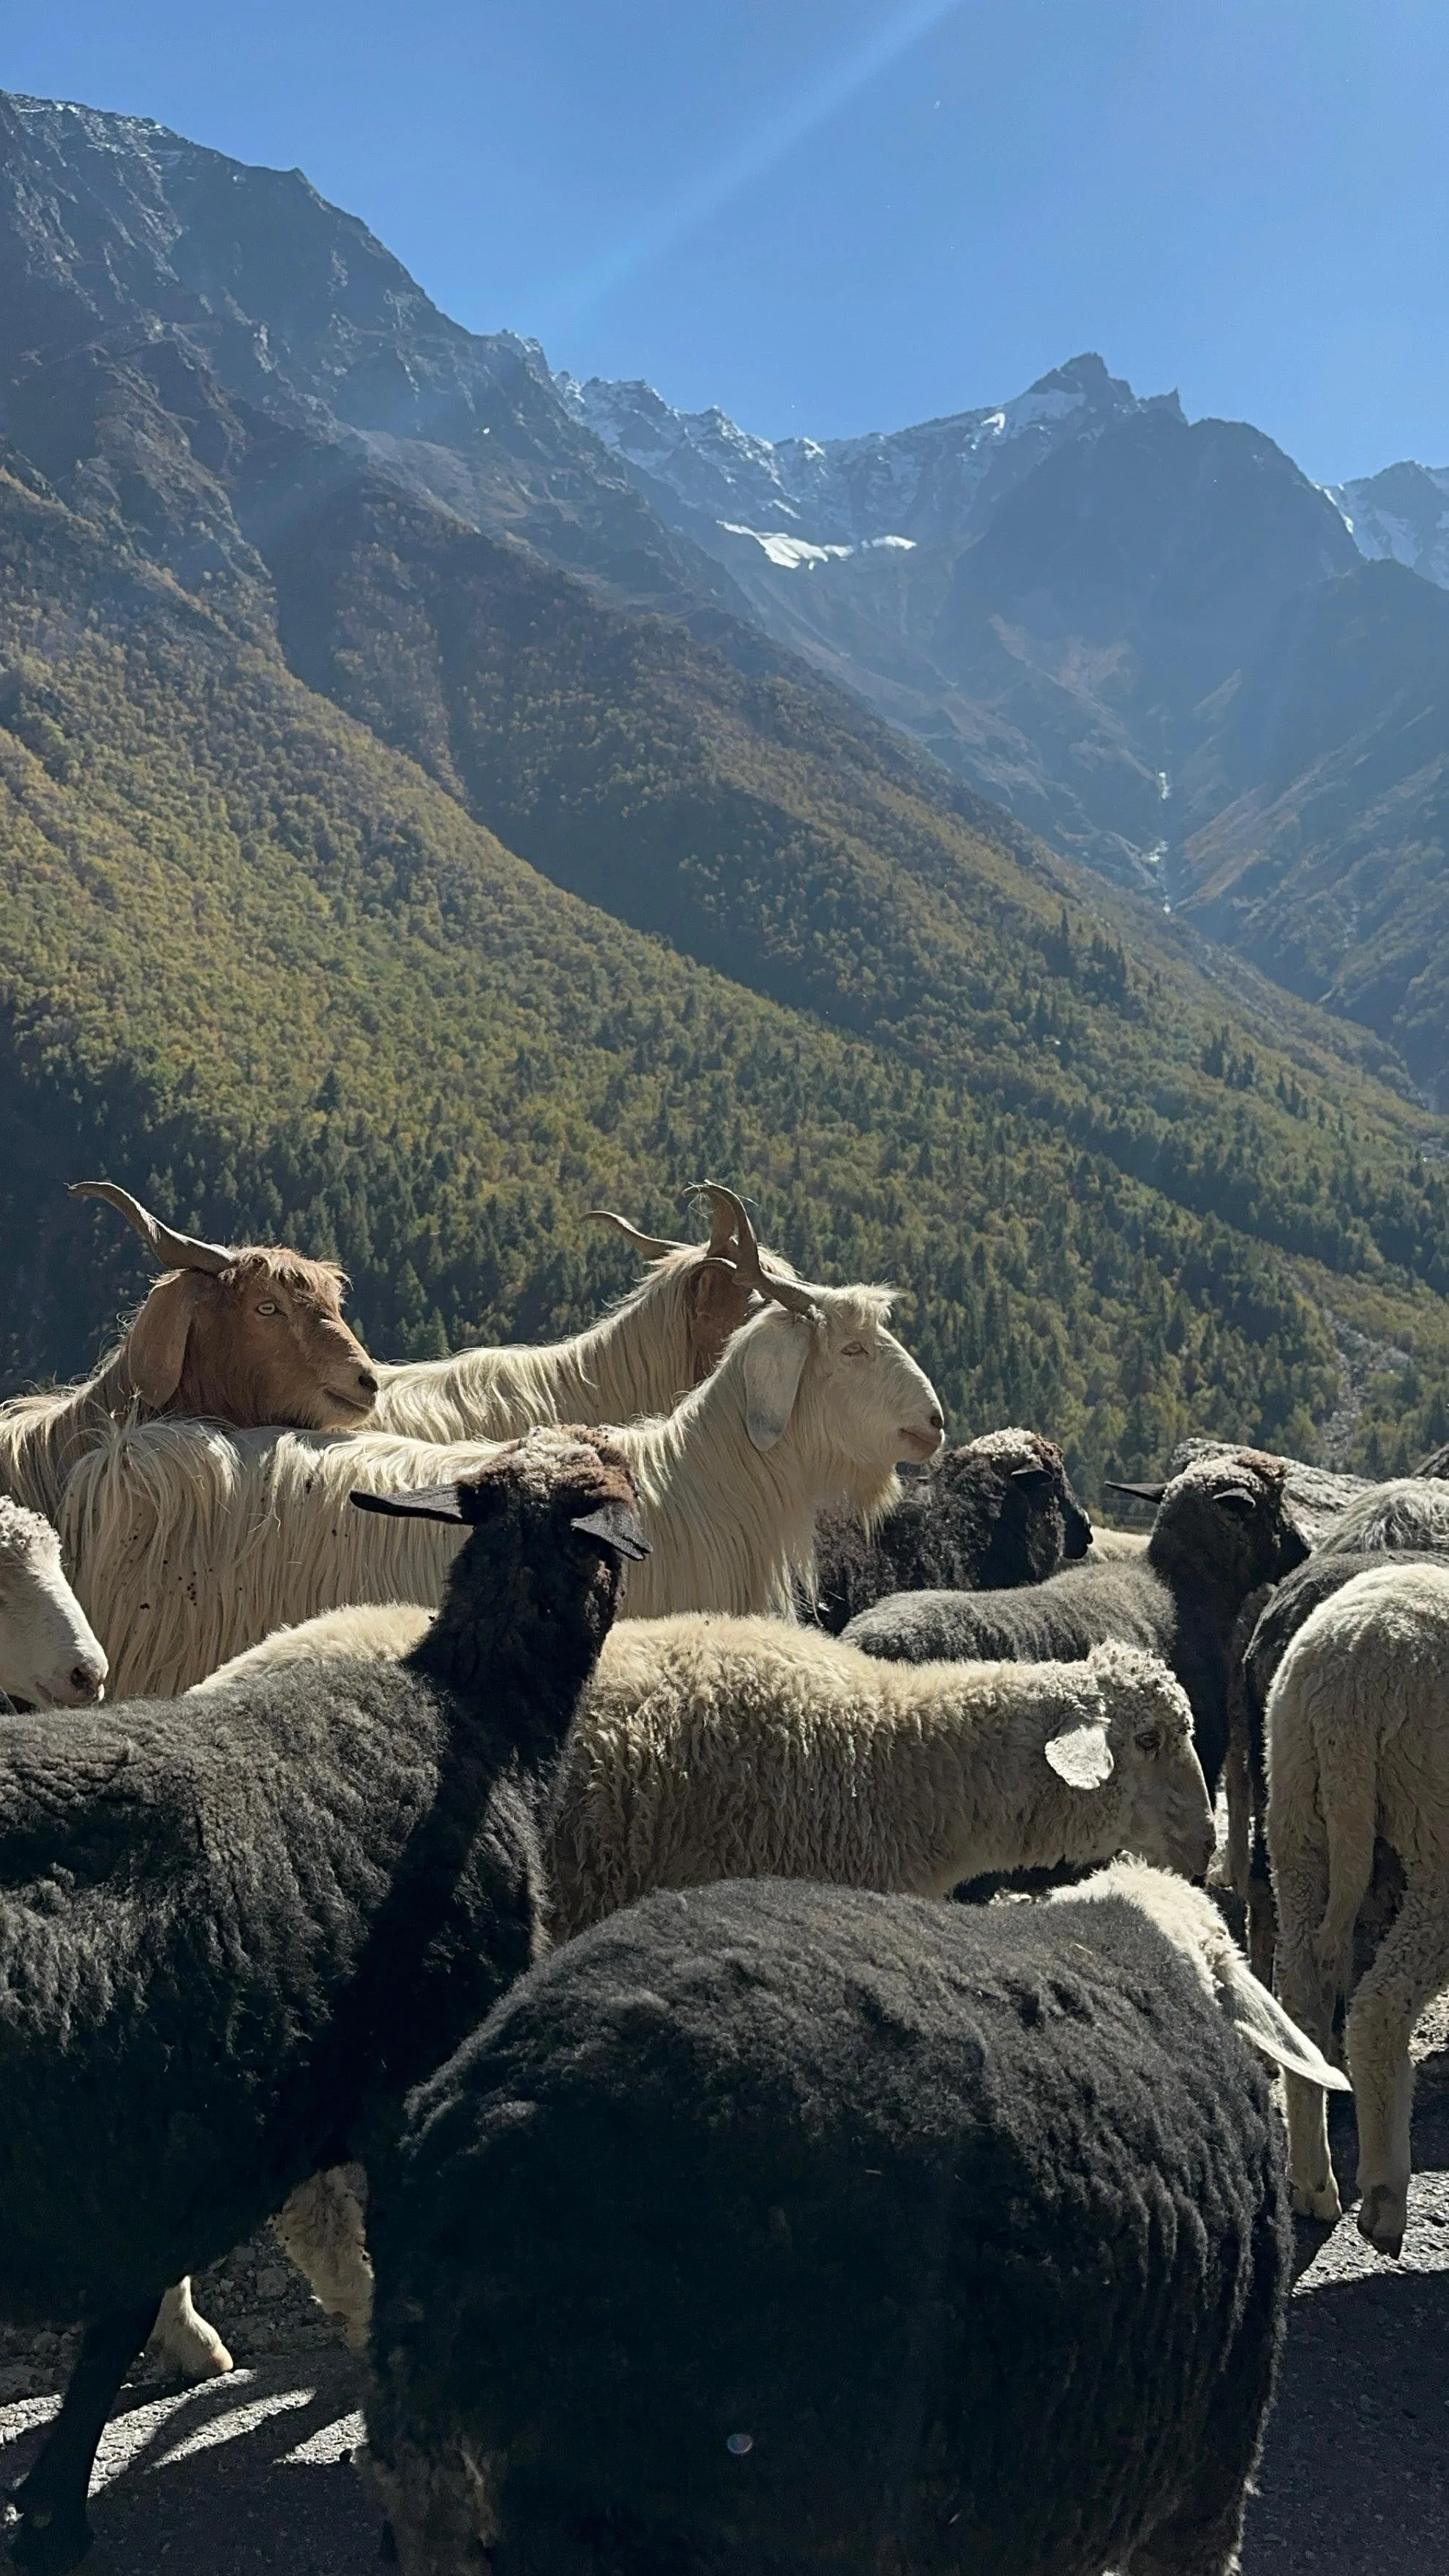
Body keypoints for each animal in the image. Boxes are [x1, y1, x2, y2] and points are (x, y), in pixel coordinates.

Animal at [1267, 1559, 1449, 2258]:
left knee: (1301, 1994)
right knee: (1378, 2007)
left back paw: (1314, 2183)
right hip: (1435, 1835)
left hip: (1296, 1814)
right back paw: (1383, 2200)